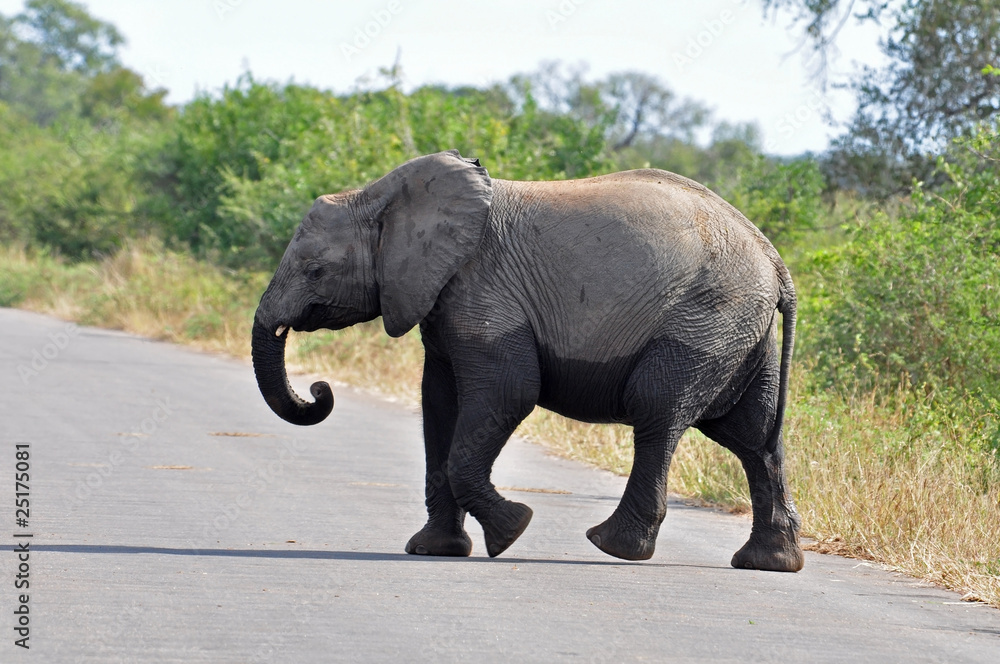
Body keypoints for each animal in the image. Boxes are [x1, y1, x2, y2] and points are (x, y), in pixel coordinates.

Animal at [251, 149, 804, 572]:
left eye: (315, 270)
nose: (320, 389)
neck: (381, 195)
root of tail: (776, 262)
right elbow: (438, 404)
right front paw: (435, 551)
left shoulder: (483, 289)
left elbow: (509, 392)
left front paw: (512, 531)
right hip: (738, 329)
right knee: (752, 437)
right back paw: (769, 563)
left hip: (706, 318)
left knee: (657, 410)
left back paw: (613, 546)